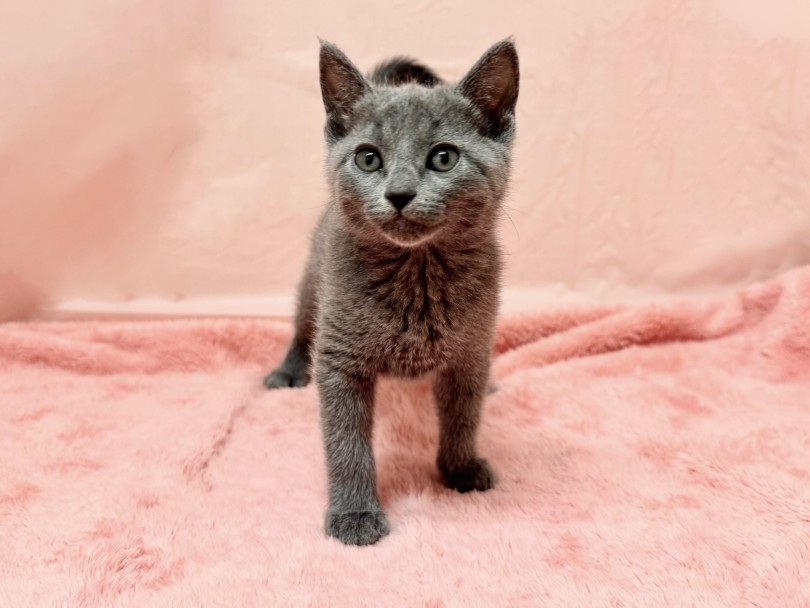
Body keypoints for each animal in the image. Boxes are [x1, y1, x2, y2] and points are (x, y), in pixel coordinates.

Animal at [265, 39, 519, 546]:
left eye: (443, 157)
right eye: (368, 158)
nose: (399, 194)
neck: (417, 274)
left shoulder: (469, 352)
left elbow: (464, 416)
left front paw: (460, 469)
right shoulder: (339, 360)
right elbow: (347, 444)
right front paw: (355, 514)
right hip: (314, 283)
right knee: (302, 327)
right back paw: (287, 371)